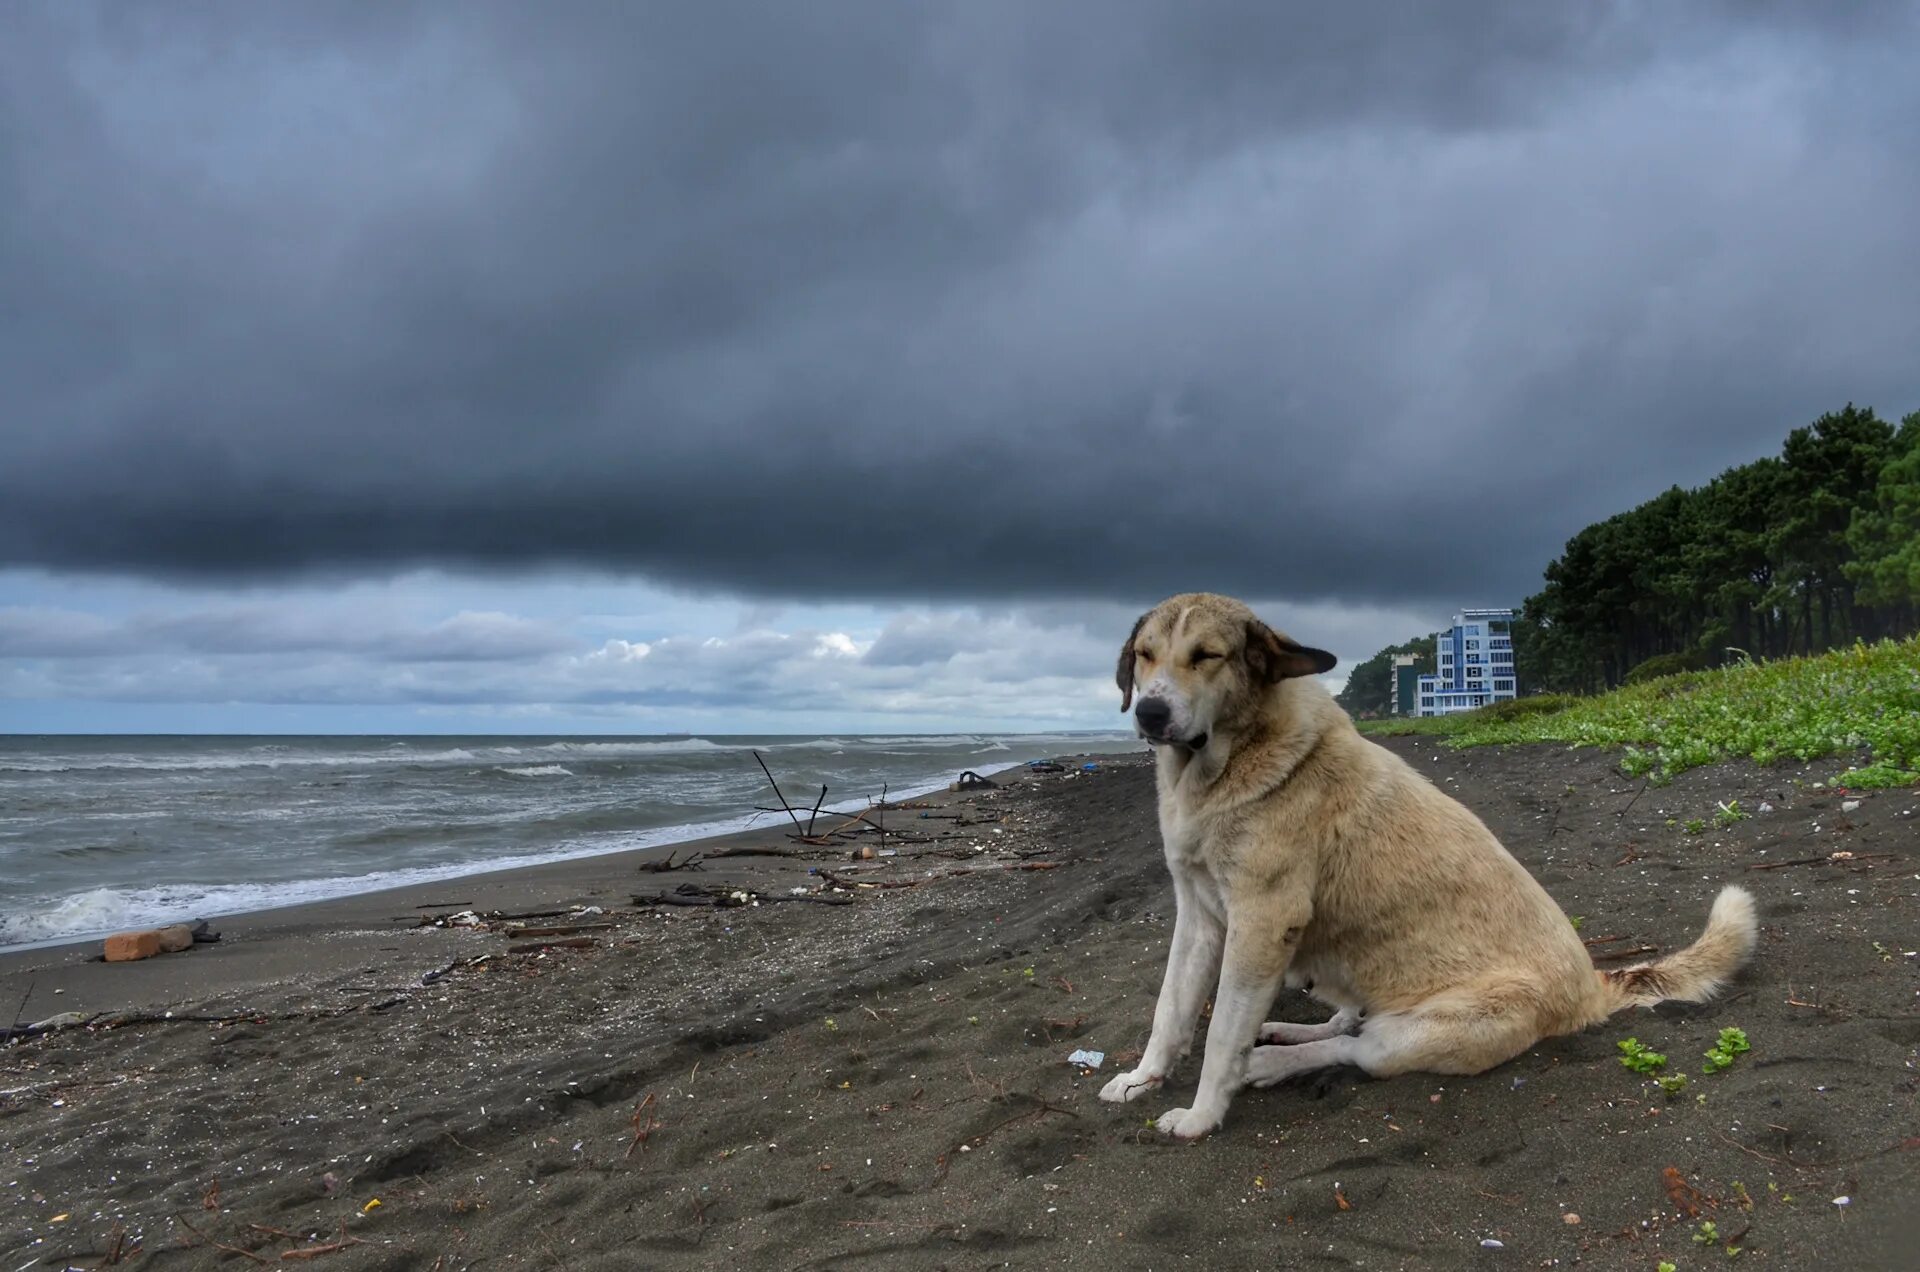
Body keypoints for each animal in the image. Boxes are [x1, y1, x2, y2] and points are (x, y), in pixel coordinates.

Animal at [1098, 591, 1758, 1137]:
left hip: (1428, 1028)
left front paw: (1202, 1114)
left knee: (1357, 1049)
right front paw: (1141, 1079)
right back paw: (1289, 1032)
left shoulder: (1262, 923)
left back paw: (1269, 1060)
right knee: (1347, 1023)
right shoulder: (1199, 917)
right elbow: (1170, 1009)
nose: (1149, 715)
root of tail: (1591, 986)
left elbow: (1219, 1038)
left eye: (1207, 656)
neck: (1227, 764)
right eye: (1145, 656)